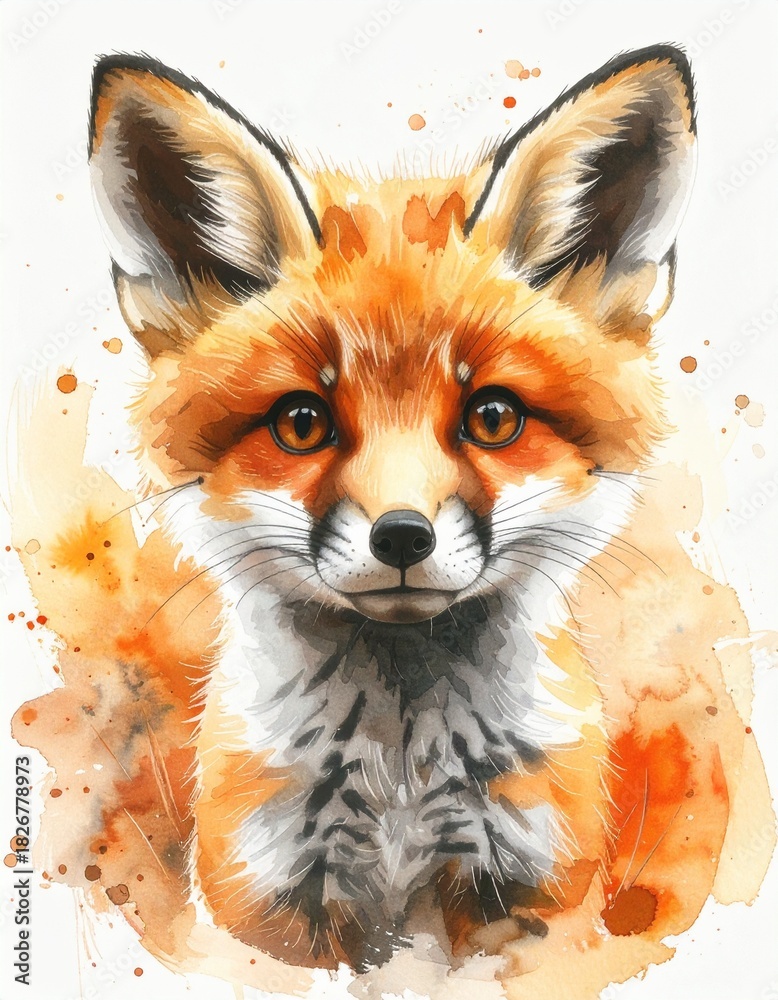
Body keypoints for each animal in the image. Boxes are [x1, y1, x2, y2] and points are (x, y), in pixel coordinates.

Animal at [10, 43, 774, 998]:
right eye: (302, 422)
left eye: (493, 417)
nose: (402, 537)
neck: (400, 790)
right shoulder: (268, 897)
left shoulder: (528, 892)